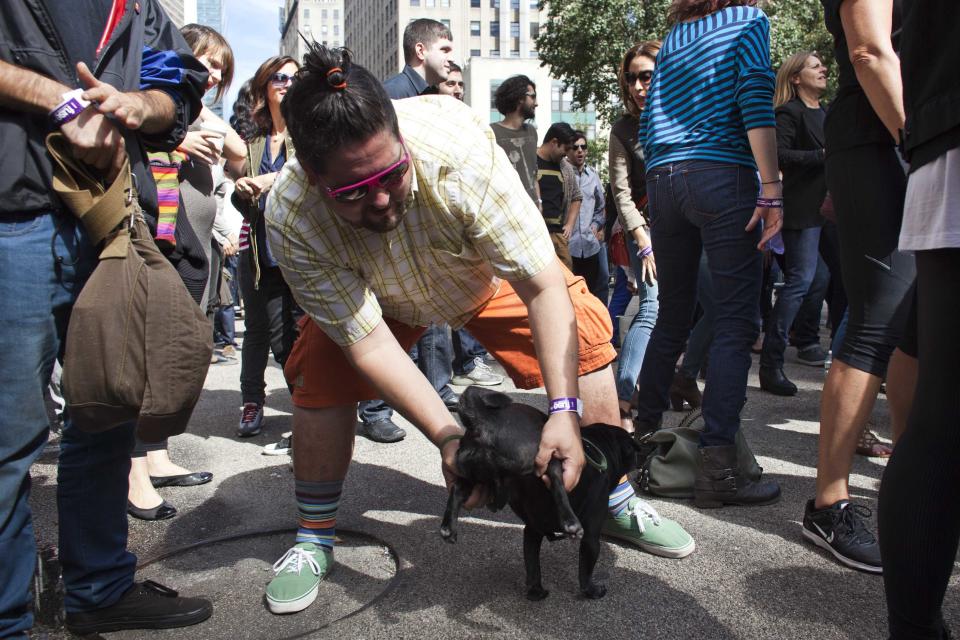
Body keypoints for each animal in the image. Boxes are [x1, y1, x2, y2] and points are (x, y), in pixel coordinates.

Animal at [440, 384, 636, 600]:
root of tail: (482, 420)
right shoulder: (592, 537)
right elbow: (585, 572)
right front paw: (592, 591)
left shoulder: (532, 531)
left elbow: (533, 565)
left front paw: (536, 592)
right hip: (543, 456)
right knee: (557, 482)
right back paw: (570, 523)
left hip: (472, 475)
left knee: (457, 490)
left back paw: (448, 528)